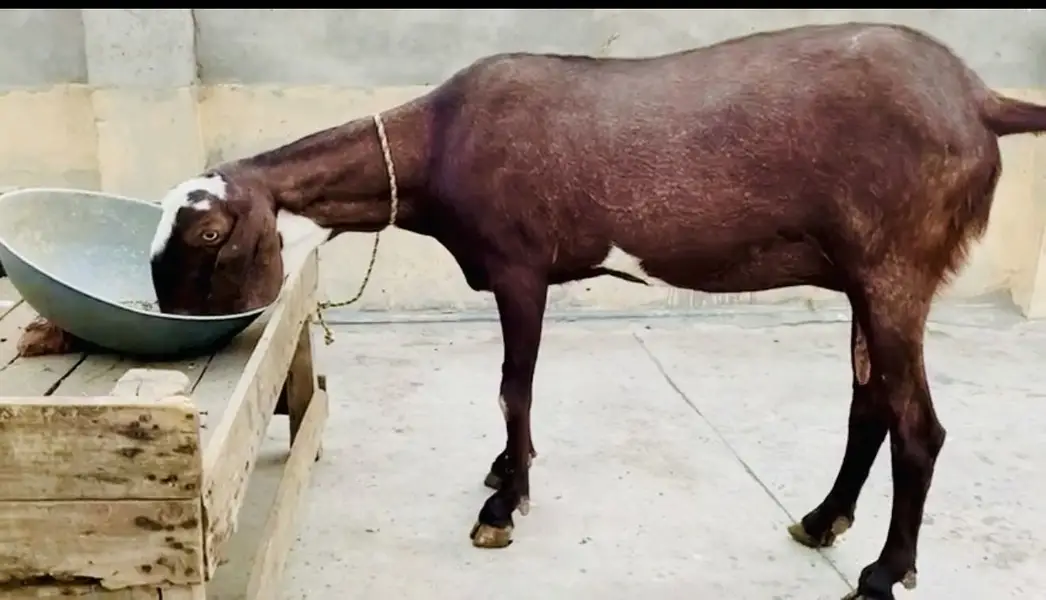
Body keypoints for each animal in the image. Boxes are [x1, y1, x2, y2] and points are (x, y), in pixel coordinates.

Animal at [148, 23, 1046, 600]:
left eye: (210, 232)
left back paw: (883, 575)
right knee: (871, 405)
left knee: (919, 426)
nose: (172, 328)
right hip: (867, 277)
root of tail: (980, 99)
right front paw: (505, 473)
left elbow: (513, 386)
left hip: (897, 268)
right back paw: (822, 522)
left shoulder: (519, 266)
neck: (440, 141)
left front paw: (503, 506)